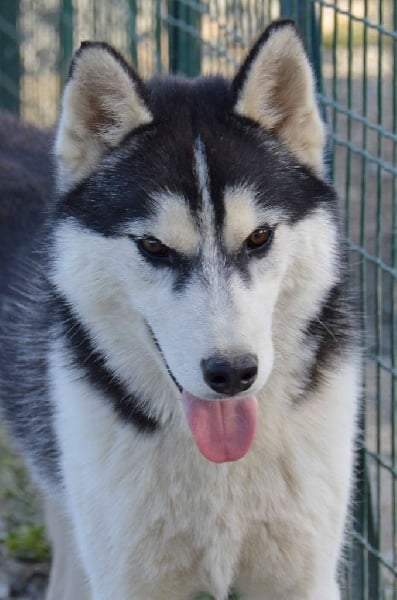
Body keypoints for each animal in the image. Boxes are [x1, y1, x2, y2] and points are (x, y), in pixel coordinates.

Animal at [0, 19, 358, 600]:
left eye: (259, 237)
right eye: (154, 247)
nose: (232, 373)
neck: (221, 466)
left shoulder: (302, 575)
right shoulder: (129, 580)